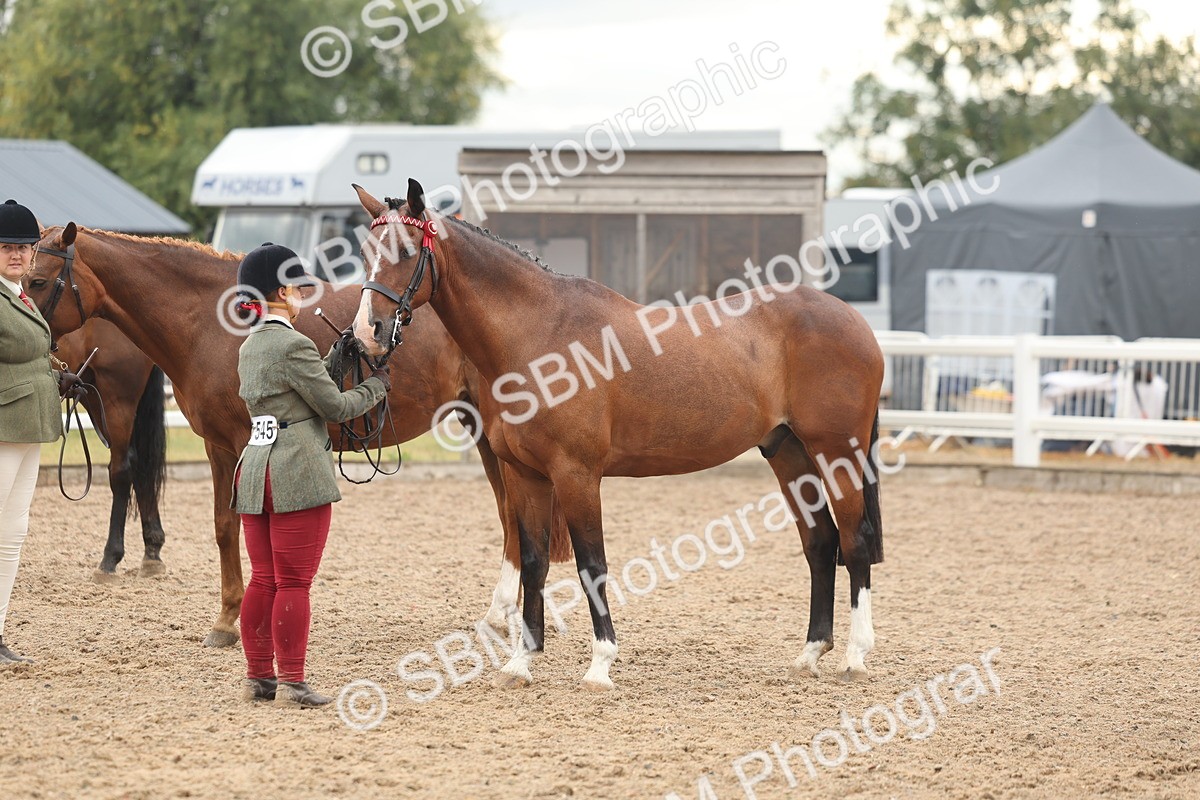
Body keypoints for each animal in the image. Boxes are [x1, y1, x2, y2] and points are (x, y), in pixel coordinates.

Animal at [52, 321, 168, 579]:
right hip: (89, 391)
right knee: (140, 467)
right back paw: (152, 551)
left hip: (117, 399)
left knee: (123, 469)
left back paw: (110, 559)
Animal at [352, 180, 885, 689]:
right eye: (365, 250)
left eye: (405, 250)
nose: (367, 332)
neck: (541, 334)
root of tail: (856, 322)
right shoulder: (526, 475)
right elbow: (534, 562)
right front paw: (521, 662)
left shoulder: (577, 475)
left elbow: (592, 564)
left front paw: (600, 666)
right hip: (789, 453)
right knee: (820, 544)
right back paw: (810, 654)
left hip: (836, 454)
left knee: (854, 542)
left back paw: (856, 658)